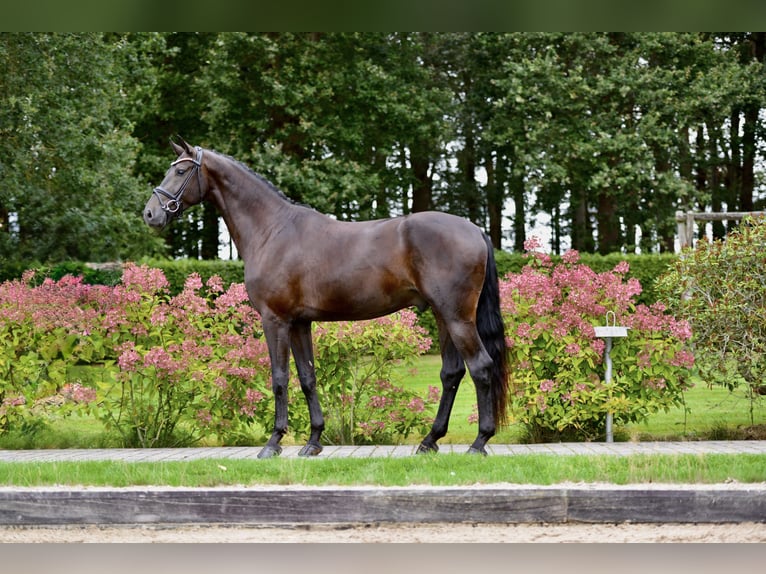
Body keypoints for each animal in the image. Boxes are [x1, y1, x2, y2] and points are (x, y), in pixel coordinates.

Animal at [143, 138, 509, 458]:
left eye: (180, 171)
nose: (150, 214)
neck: (272, 230)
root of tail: (474, 229)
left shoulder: (275, 320)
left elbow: (280, 378)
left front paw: (273, 443)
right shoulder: (299, 323)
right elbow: (307, 378)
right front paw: (313, 442)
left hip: (457, 317)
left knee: (480, 367)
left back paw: (479, 442)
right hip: (443, 316)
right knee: (452, 374)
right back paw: (430, 440)